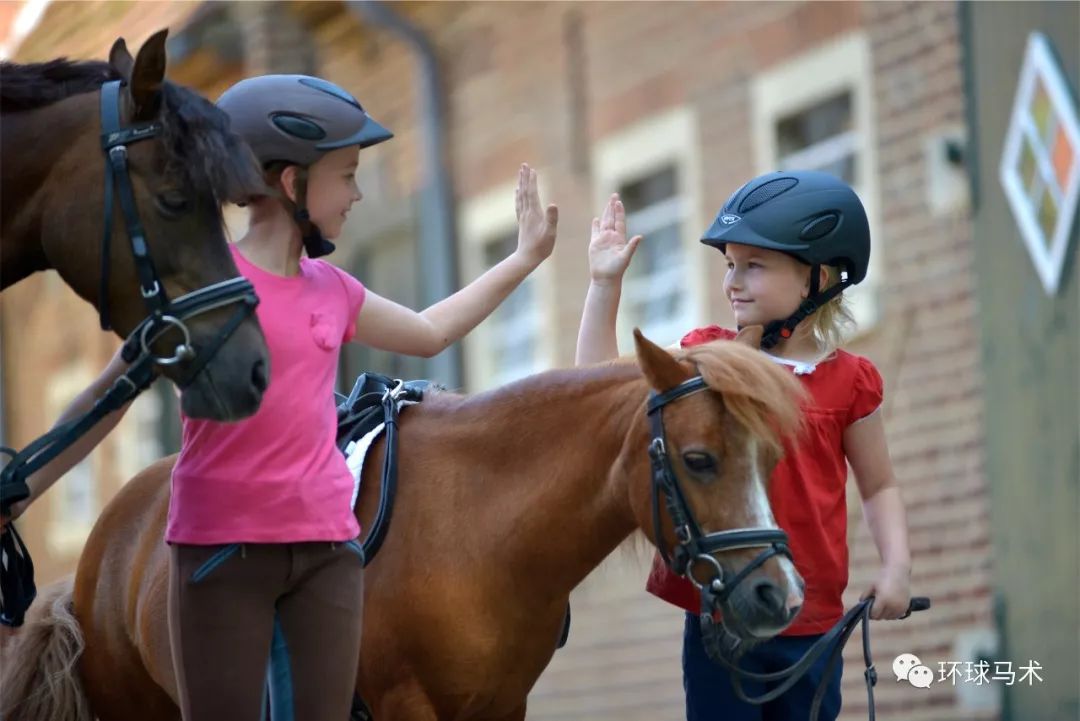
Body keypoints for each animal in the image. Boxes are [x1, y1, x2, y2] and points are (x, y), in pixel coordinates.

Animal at [2, 330, 812, 716]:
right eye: (700, 459)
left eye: (772, 456)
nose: (780, 594)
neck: (479, 532)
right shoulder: (404, 706)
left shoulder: (501, 708)